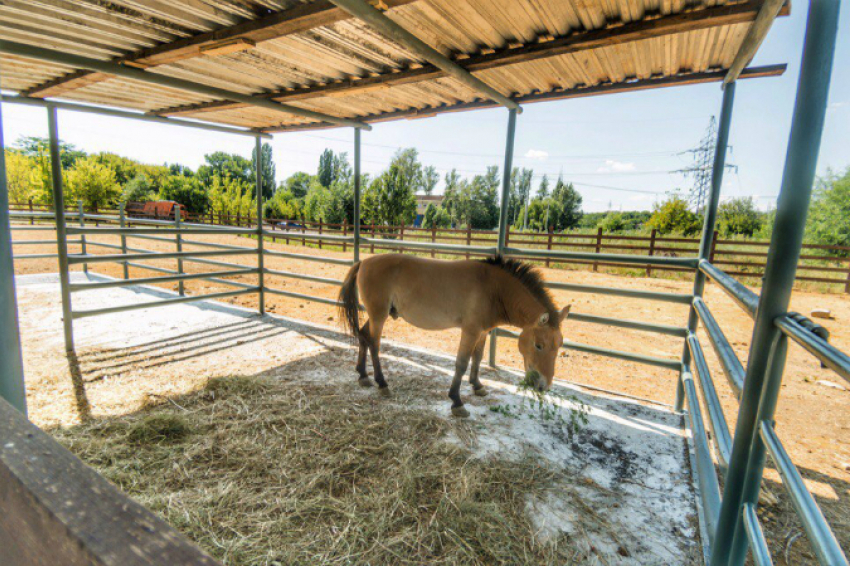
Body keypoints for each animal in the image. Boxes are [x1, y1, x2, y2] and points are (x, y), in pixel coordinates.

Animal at [338, 255, 568, 420]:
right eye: (539, 345)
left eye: (559, 346)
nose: (543, 386)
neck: (494, 289)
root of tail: (364, 262)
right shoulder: (470, 331)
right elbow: (462, 363)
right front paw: (457, 402)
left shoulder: (482, 332)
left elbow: (478, 358)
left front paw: (477, 386)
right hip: (379, 316)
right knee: (374, 344)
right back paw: (382, 383)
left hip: (375, 316)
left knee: (363, 336)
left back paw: (363, 376)